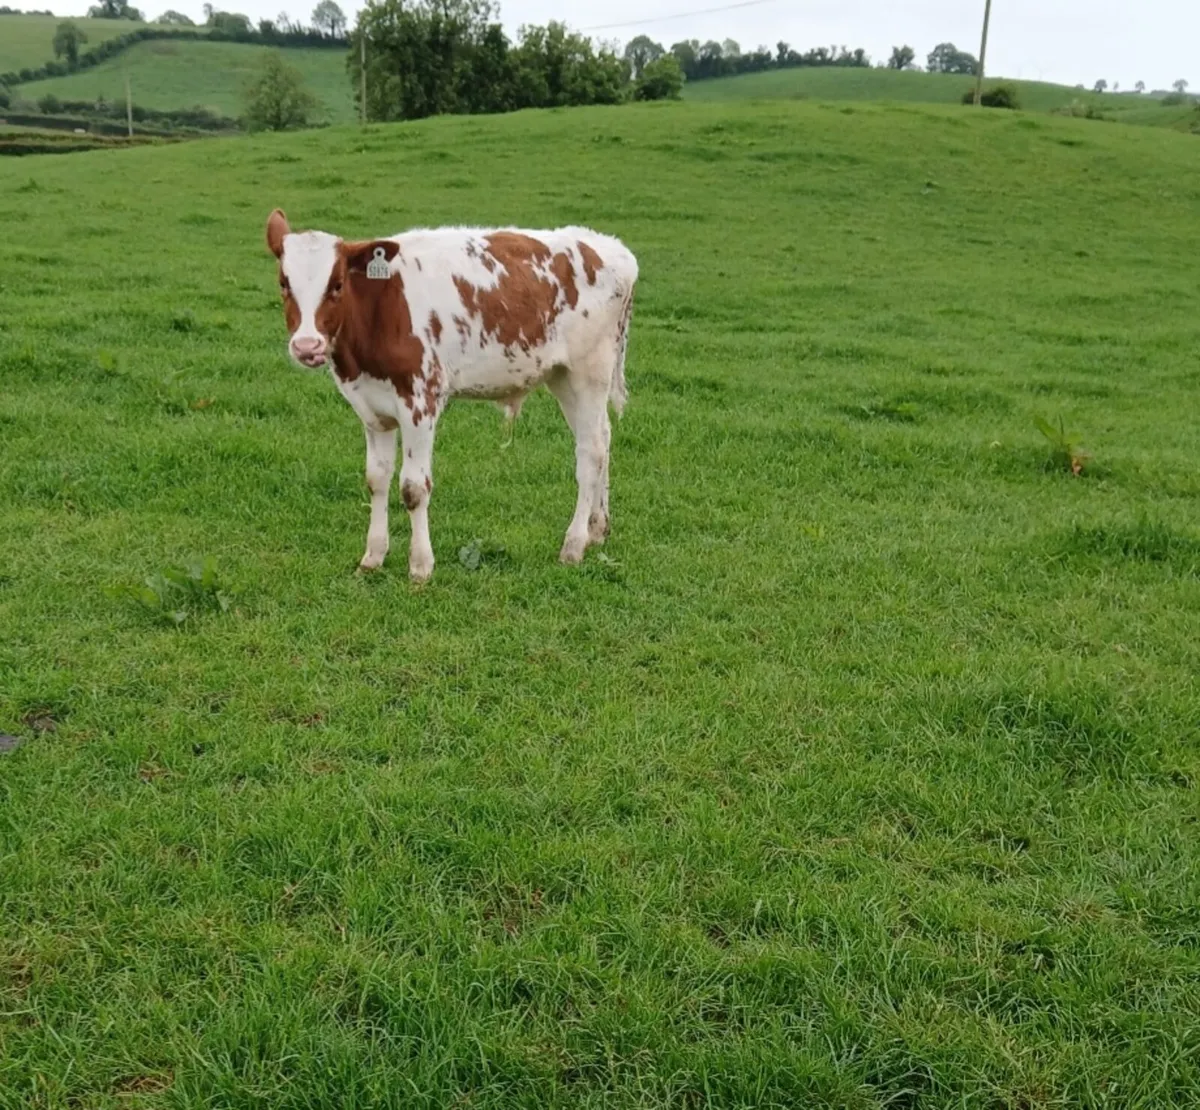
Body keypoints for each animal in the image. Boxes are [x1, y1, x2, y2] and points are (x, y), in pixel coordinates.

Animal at [265, 210, 638, 583]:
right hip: (563, 377)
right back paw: (596, 529)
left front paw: (420, 567)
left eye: (338, 284)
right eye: (284, 283)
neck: (380, 309)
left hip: (589, 371)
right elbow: (377, 480)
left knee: (591, 452)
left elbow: (413, 488)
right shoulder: (372, 409)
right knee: (602, 438)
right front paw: (373, 556)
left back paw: (573, 544)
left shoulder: (421, 401)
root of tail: (611, 247)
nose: (307, 346)